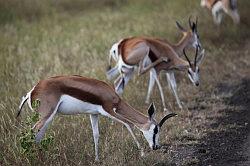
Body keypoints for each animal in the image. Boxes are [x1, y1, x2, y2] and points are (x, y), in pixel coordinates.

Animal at [16, 75, 177, 161]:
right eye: (156, 130)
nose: (156, 146)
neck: (111, 95)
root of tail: (32, 91)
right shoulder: (109, 111)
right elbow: (128, 124)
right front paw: (142, 153)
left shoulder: (93, 114)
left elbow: (96, 134)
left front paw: (97, 159)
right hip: (47, 115)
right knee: (32, 133)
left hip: (48, 118)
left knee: (38, 136)